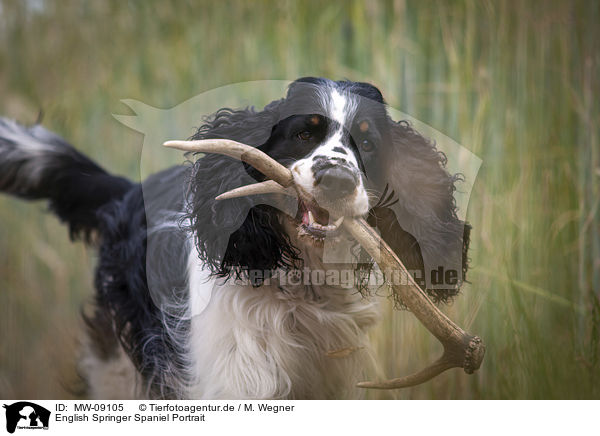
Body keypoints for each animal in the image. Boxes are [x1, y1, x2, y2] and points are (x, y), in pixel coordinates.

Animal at [0, 77, 468, 398]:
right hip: (116, 367)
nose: (337, 179)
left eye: (368, 143)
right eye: (304, 133)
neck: (301, 283)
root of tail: (128, 191)